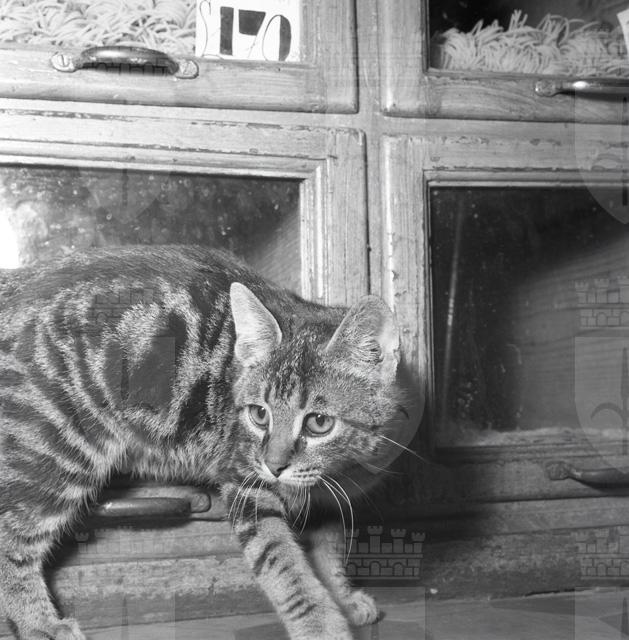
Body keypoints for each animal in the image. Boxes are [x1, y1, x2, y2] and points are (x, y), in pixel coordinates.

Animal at [0, 244, 410, 640]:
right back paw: (39, 624)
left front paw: (343, 599)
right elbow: (287, 569)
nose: (274, 465)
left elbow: (327, 554)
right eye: (259, 415)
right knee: (11, 537)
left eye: (319, 423)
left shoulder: (329, 503)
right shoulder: (247, 484)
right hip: (58, 452)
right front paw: (319, 626)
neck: (343, 470)